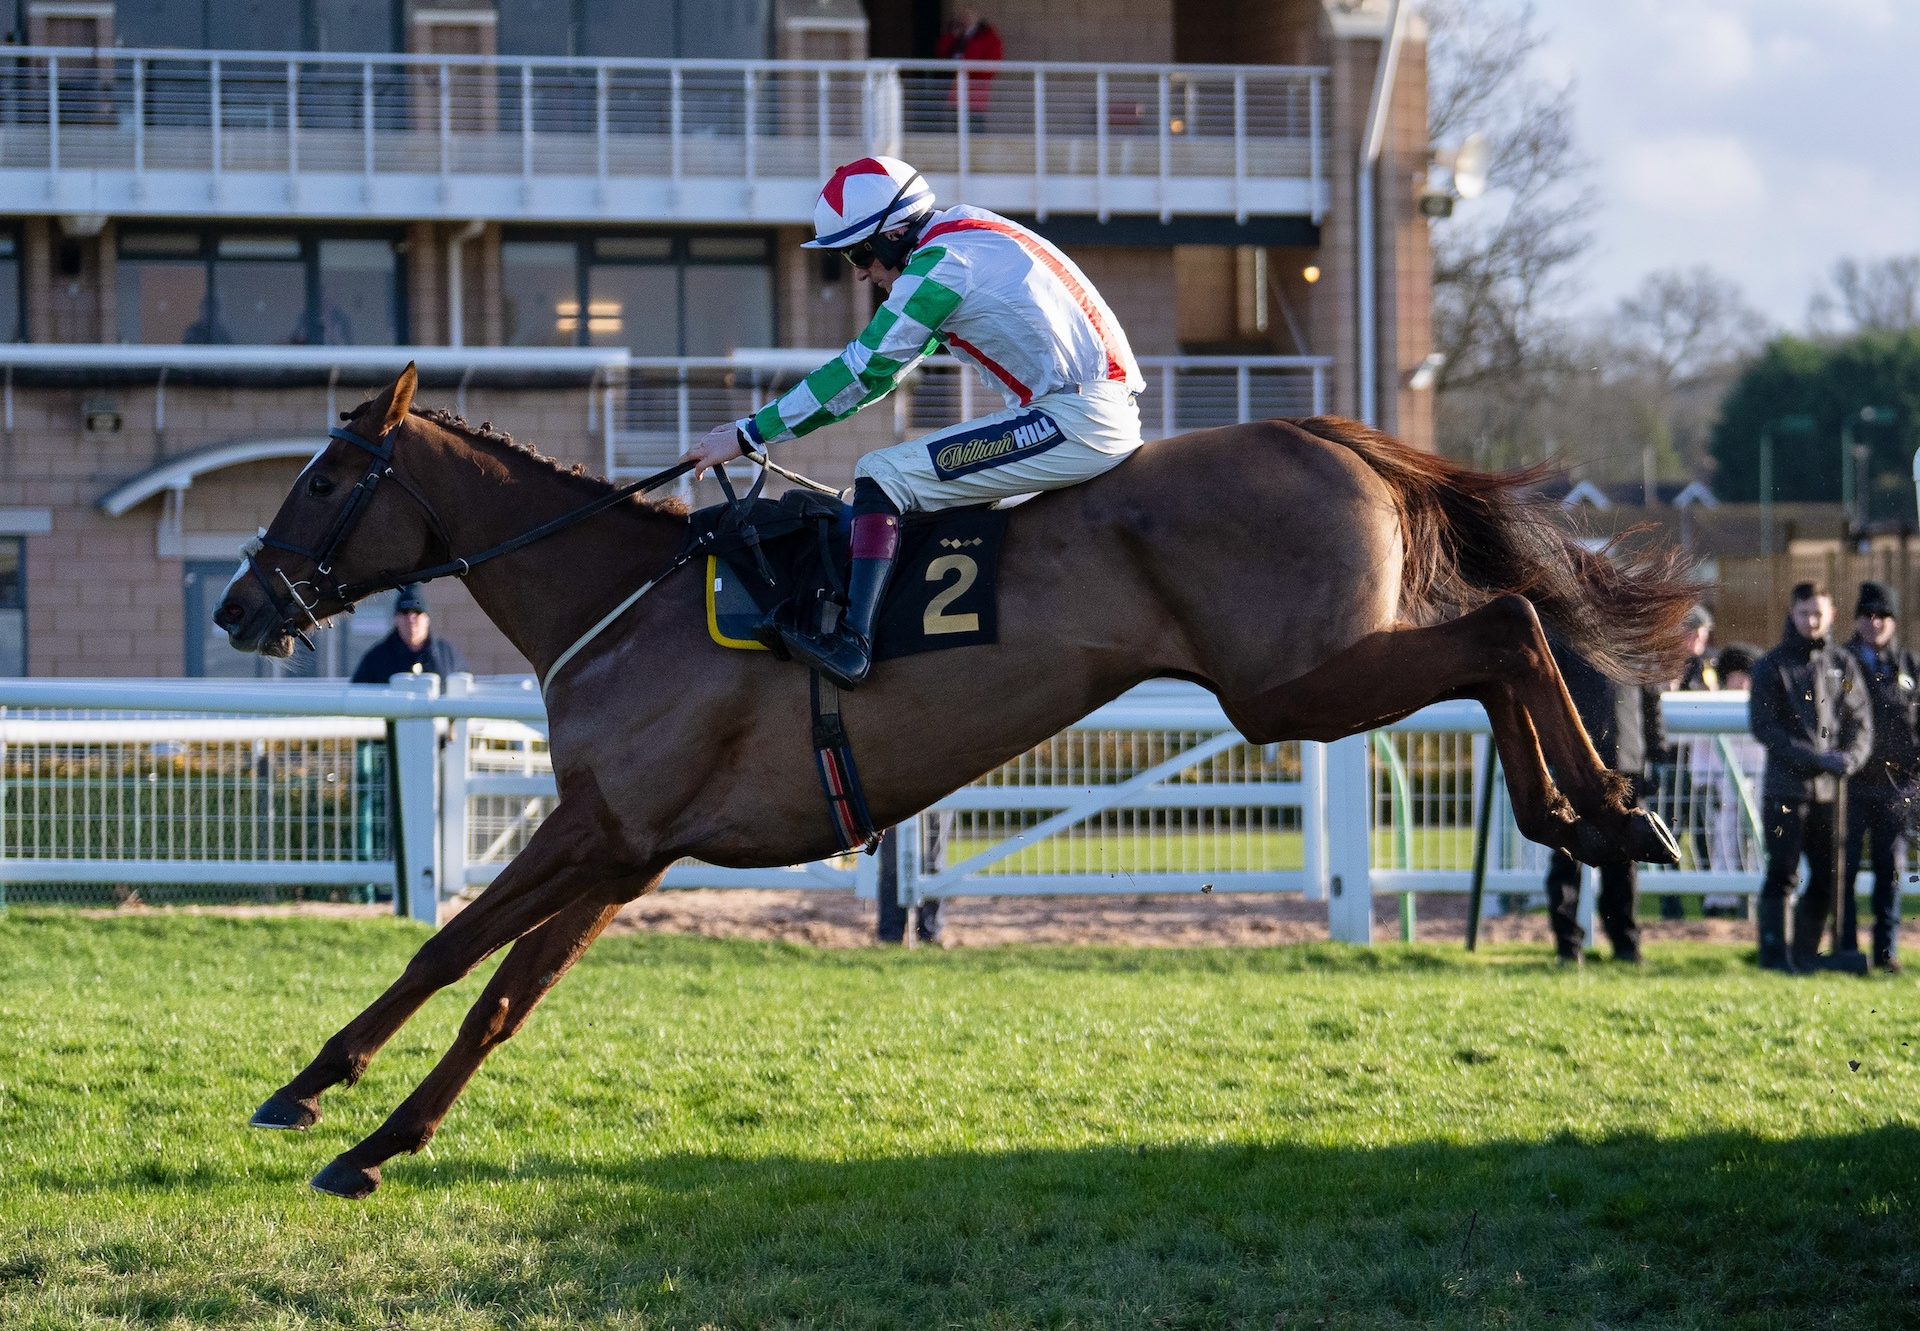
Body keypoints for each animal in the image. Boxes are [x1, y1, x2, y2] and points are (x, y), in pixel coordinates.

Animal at [220, 366, 1681, 1190]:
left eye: (329, 475)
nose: (243, 602)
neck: (619, 594)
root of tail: (1332, 436)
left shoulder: (599, 827)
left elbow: (460, 959)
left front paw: (331, 1102)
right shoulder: (629, 846)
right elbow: (487, 984)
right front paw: (361, 1123)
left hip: (1293, 683)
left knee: (1509, 627)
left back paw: (1599, 808)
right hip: (1309, 676)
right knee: (1508, 633)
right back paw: (1606, 812)